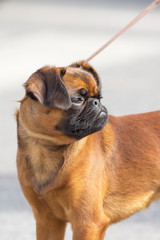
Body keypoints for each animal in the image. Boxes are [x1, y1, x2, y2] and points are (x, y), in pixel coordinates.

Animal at [15, 61, 160, 239]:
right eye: (77, 99)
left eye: (99, 97)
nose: (96, 103)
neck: (46, 149)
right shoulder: (47, 220)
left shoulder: (87, 223)